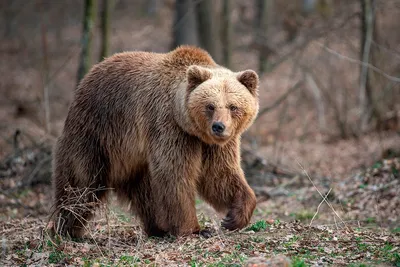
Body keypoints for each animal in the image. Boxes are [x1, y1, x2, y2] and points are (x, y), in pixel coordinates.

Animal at [52, 45, 260, 239]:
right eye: (210, 106)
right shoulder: (168, 126)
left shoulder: (213, 145)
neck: (188, 124)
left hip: (132, 156)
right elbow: (175, 174)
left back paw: (158, 227)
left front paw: (234, 217)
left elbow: (219, 175)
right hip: (95, 131)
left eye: (233, 106)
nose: (219, 126)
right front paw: (195, 229)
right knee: (81, 183)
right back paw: (65, 229)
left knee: (145, 192)